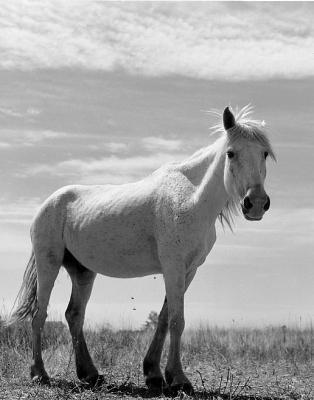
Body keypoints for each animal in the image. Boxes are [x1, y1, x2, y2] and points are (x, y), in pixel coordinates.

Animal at [7, 104, 274, 396]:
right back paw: (39, 374)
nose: (256, 203)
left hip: (83, 272)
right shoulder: (173, 267)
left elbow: (165, 319)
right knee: (39, 314)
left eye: (264, 153)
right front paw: (179, 379)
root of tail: (48, 203)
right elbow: (177, 320)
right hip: (49, 263)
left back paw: (90, 375)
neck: (192, 198)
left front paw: (154, 374)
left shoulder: (188, 271)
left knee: (74, 315)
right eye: (231, 153)